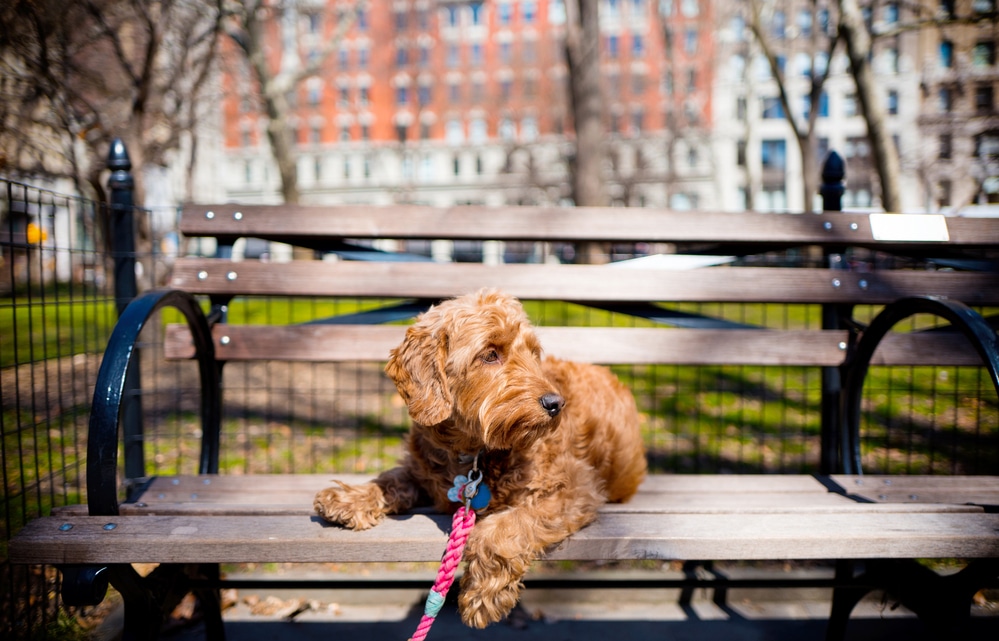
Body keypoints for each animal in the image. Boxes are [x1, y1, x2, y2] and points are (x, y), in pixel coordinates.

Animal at [316, 288, 652, 628]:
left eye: (533, 353)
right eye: (490, 354)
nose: (556, 403)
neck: (471, 452)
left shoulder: (575, 487)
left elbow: (503, 528)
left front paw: (482, 596)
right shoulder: (423, 470)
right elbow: (393, 478)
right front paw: (350, 498)